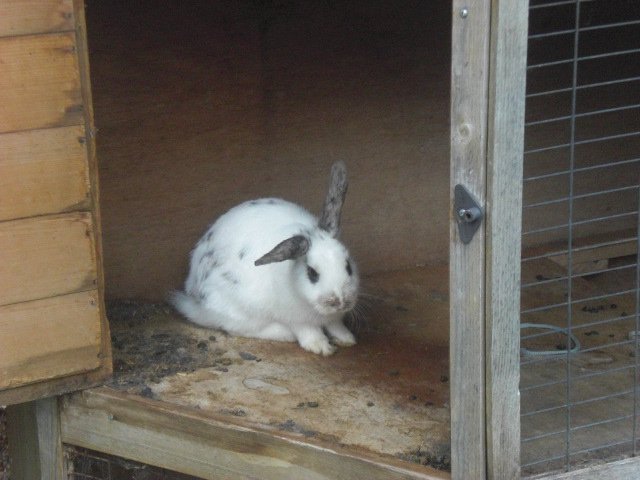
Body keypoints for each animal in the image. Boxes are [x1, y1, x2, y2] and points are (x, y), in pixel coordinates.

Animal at [170, 163, 360, 354]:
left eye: (348, 266)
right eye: (312, 273)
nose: (340, 302)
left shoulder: (334, 319)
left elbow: (336, 326)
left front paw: (347, 339)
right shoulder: (296, 319)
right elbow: (308, 331)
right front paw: (321, 347)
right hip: (238, 310)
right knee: (236, 327)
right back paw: (283, 333)